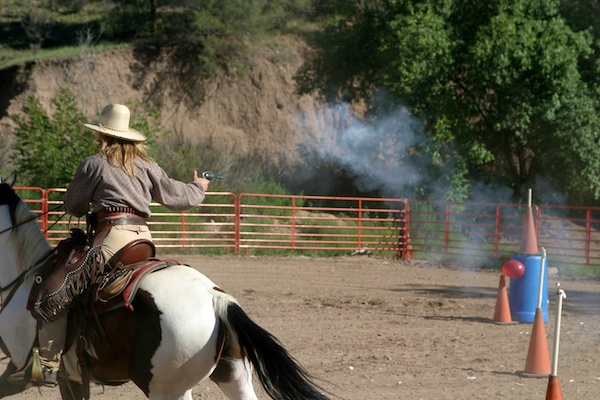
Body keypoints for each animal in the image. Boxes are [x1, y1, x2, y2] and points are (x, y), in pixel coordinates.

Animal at [0, 173, 332, 400]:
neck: (20, 277)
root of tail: (215, 300)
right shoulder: (71, 377)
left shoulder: (29, 370)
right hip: (234, 375)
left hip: (168, 389)